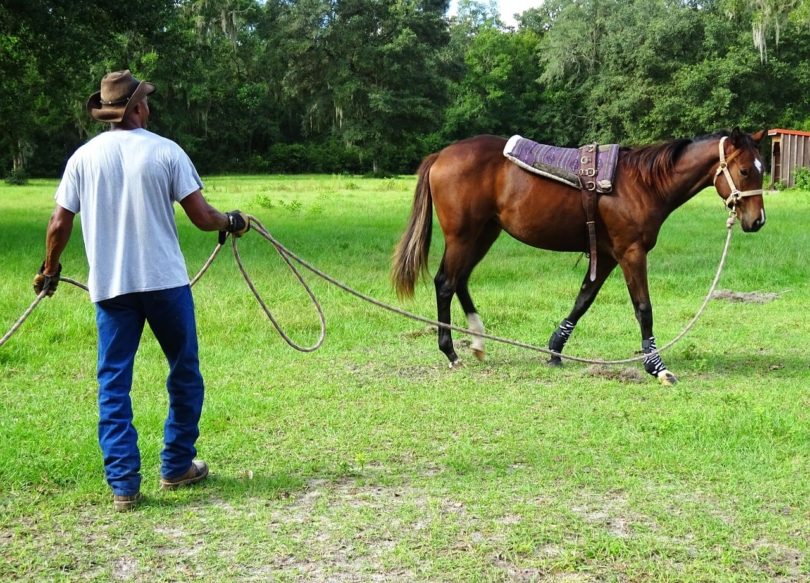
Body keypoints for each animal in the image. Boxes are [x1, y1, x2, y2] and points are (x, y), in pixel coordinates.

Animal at [392, 129, 764, 384]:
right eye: (746, 171)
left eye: (762, 169)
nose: (757, 221)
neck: (642, 184)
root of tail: (442, 155)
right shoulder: (631, 252)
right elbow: (643, 309)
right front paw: (657, 367)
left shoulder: (609, 256)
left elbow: (582, 300)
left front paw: (555, 349)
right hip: (463, 236)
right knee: (445, 283)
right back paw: (451, 351)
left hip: (484, 234)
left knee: (460, 281)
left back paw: (478, 340)